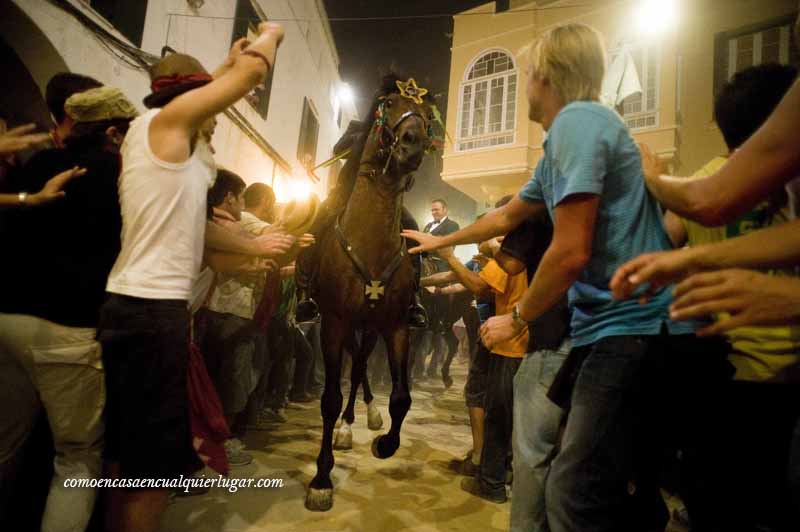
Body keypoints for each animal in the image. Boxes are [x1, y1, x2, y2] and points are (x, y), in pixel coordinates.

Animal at [304, 76, 434, 512]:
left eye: (427, 116)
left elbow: (402, 398)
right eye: (389, 103)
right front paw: (321, 479)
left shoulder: (395, 326)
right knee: (355, 368)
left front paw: (385, 443)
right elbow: (329, 398)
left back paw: (362, 421)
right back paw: (345, 430)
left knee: (361, 366)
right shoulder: (333, 323)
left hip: (370, 328)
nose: (413, 142)